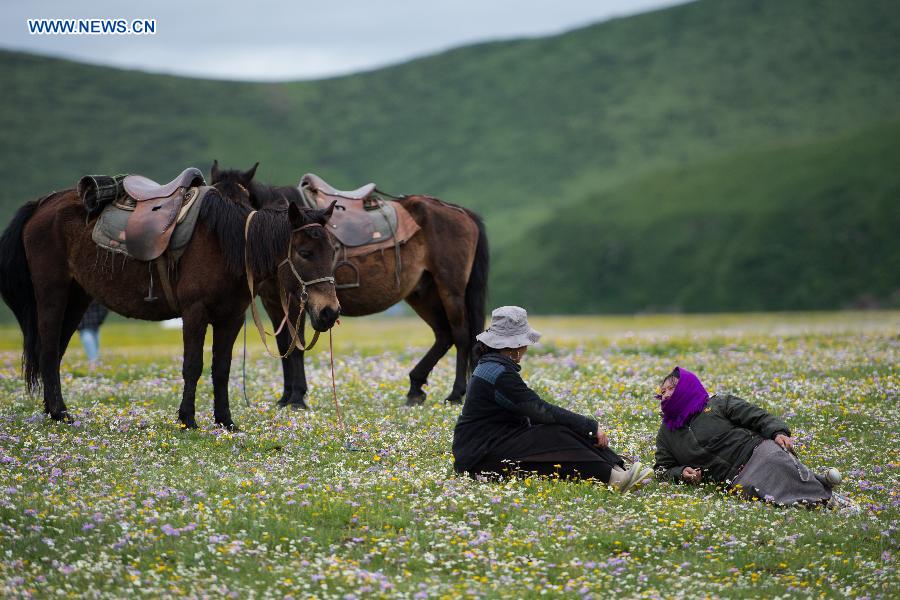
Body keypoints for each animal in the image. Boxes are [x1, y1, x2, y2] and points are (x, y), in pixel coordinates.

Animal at [0, 180, 340, 428]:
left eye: (333, 250)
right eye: (305, 253)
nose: (330, 312)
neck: (227, 245)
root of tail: (42, 204)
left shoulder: (230, 318)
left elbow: (221, 368)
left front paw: (225, 421)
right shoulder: (195, 313)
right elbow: (193, 366)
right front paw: (187, 420)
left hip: (78, 297)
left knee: (55, 352)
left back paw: (53, 410)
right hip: (52, 292)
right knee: (47, 350)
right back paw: (60, 413)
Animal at [210, 163, 488, 408]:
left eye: (242, 204)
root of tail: (461, 212)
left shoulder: (298, 299)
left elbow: (297, 346)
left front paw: (297, 398)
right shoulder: (273, 302)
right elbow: (284, 347)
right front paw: (285, 397)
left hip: (450, 288)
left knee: (461, 335)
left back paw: (455, 394)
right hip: (423, 293)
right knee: (443, 335)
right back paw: (415, 387)